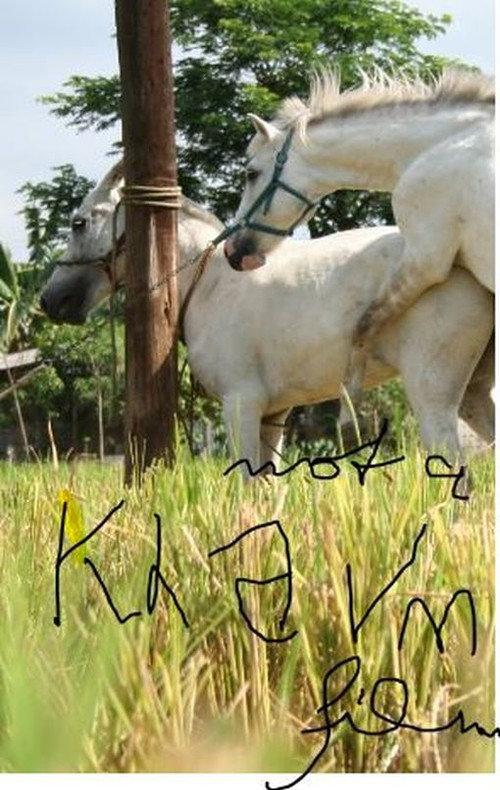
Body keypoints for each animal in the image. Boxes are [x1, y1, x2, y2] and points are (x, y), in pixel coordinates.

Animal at [39, 162, 494, 469]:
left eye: (79, 223)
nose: (49, 300)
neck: (209, 283)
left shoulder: (241, 404)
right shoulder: (274, 416)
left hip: (432, 395)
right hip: (475, 393)